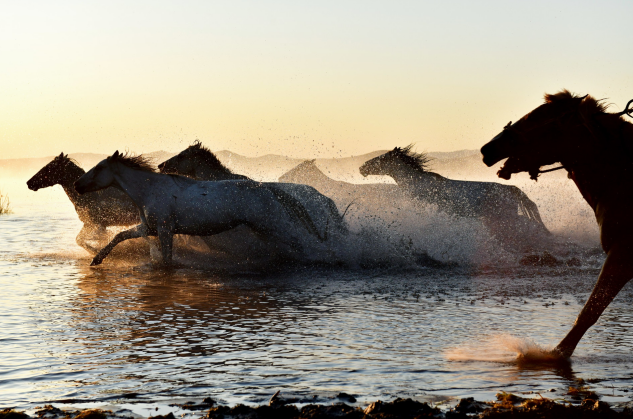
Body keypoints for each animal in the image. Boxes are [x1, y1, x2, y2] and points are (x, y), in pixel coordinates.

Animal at [75, 153, 330, 268]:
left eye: (99, 168)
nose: (78, 185)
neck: (149, 190)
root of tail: (265, 187)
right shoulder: (149, 228)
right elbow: (119, 236)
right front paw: (97, 259)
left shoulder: (165, 230)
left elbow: (167, 260)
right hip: (263, 228)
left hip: (270, 224)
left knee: (298, 243)